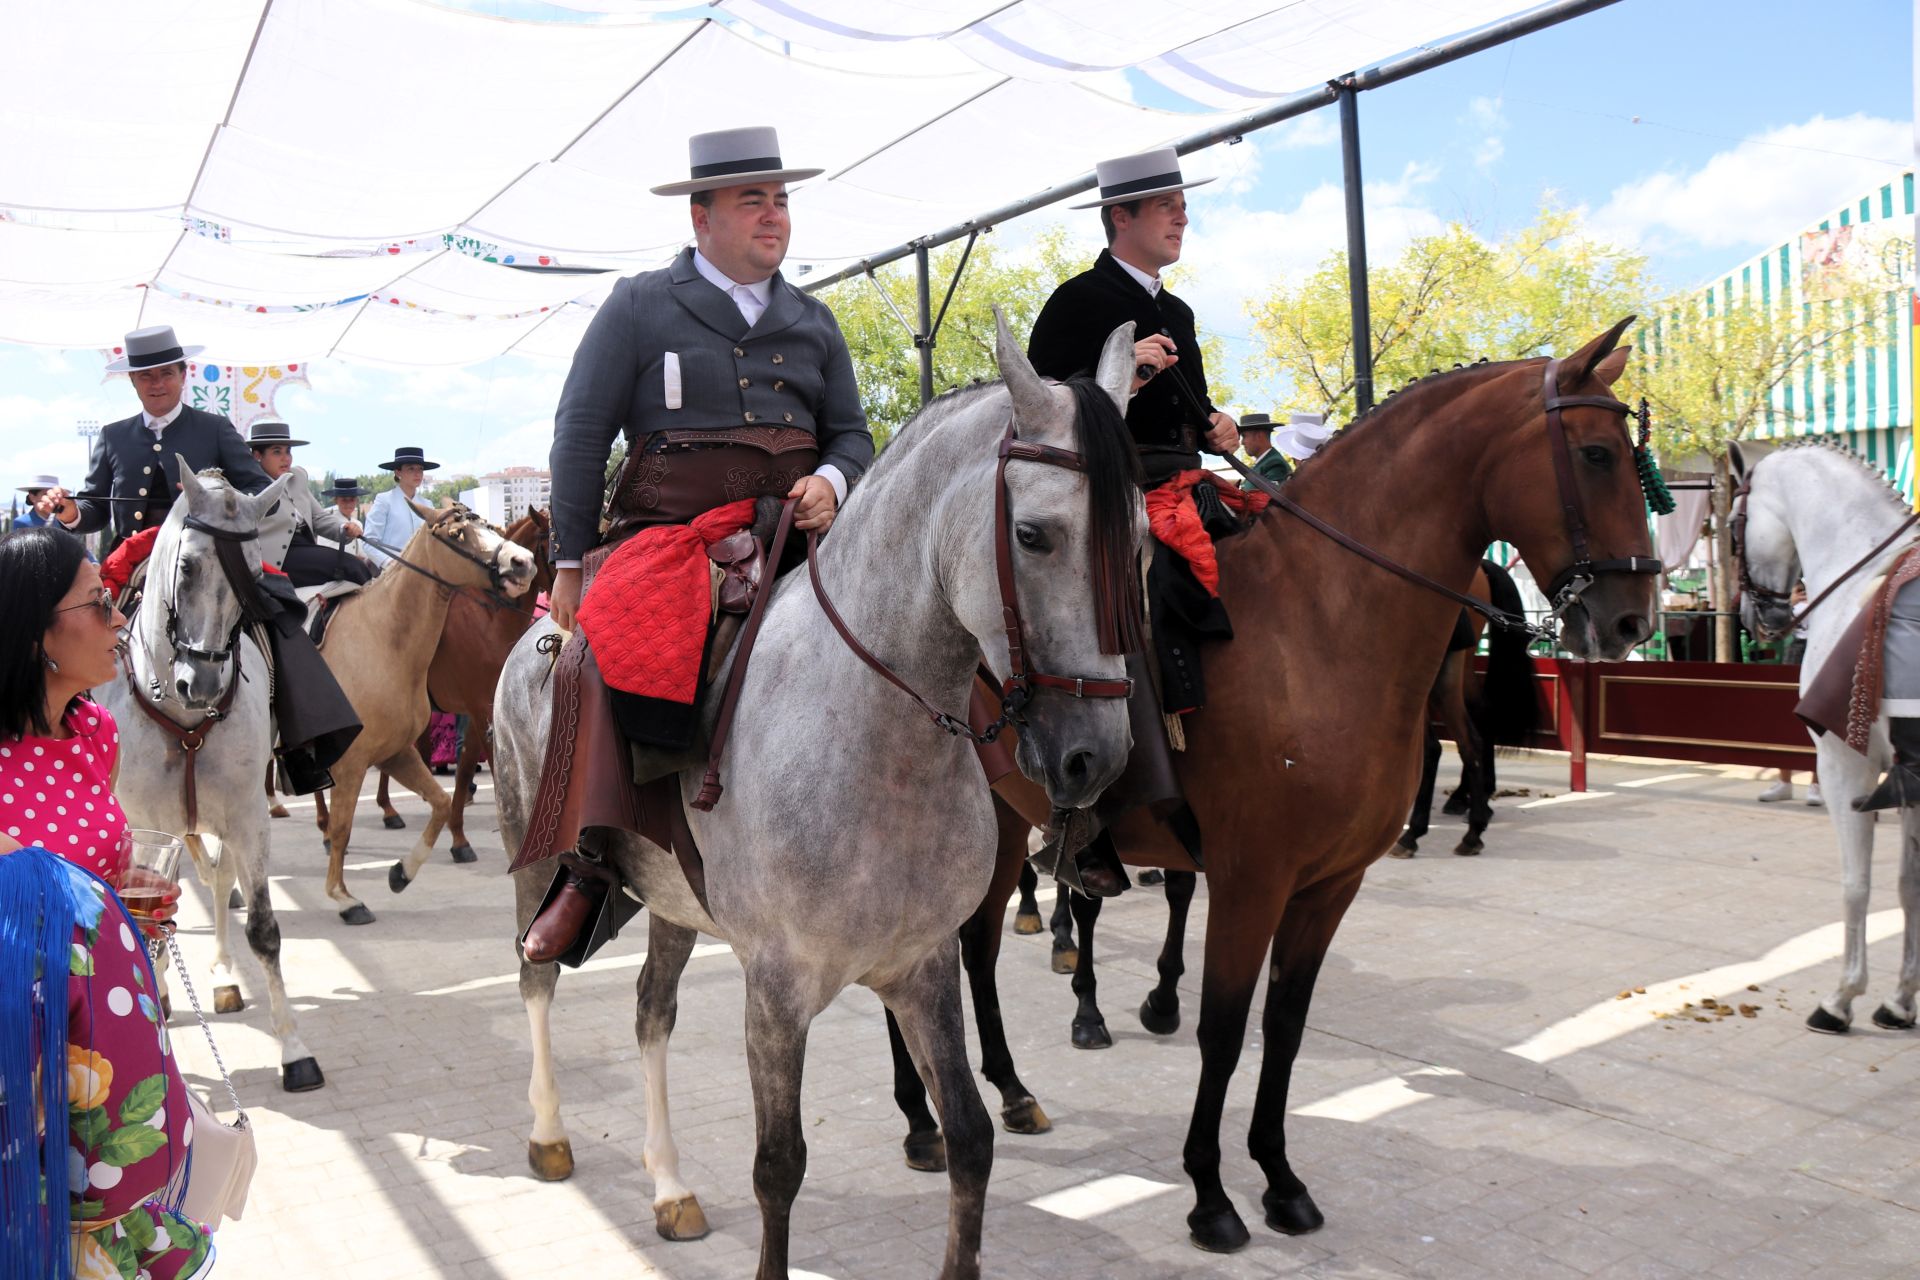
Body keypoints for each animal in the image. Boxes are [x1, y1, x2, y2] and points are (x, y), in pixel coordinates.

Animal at [94, 460, 326, 1090]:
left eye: (252, 574)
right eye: (188, 566)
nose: (199, 684)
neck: (183, 718)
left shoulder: (248, 816)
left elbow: (263, 929)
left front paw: (294, 1049)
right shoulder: (147, 827)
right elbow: (146, 922)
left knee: (220, 883)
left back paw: (223, 974)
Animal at [495, 312, 1144, 1280]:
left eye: (1139, 540)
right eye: (1034, 535)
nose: (1091, 758)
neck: (875, 738)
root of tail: (539, 627)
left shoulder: (923, 966)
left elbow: (970, 1138)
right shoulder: (777, 986)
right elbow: (779, 1166)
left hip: (674, 903)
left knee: (652, 1013)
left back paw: (670, 1185)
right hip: (533, 857)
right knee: (536, 978)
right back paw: (547, 1134)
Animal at [883, 322, 1651, 1251]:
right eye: (1598, 453)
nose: (1631, 618)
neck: (1321, 623)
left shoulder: (1328, 883)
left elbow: (1281, 1025)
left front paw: (1280, 1180)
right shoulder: (1251, 877)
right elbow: (1221, 1028)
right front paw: (1211, 1194)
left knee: (970, 950)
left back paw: (1004, 1090)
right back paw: (924, 1118)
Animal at [1743, 441, 1920, 1028]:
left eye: (1731, 519)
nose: (1758, 616)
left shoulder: (1848, 767)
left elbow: (1856, 885)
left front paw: (1842, 998)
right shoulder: (1907, 783)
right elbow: (1908, 887)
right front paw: (1899, 999)